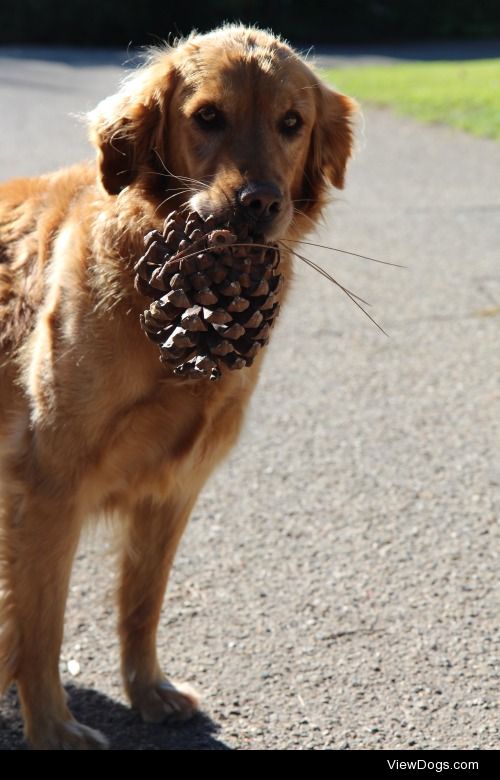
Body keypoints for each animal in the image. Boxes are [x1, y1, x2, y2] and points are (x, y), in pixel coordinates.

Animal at [0, 24, 356, 748]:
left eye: (292, 123)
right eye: (207, 117)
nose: (260, 203)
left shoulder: (173, 485)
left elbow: (142, 603)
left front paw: (149, 691)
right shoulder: (48, 484)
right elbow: (40, 625)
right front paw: (52, 727)